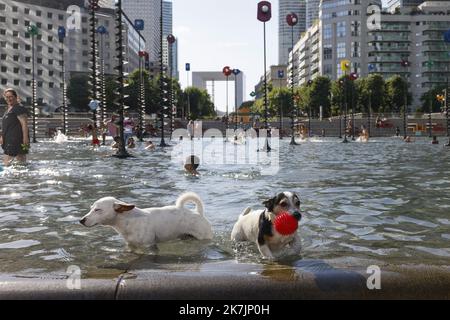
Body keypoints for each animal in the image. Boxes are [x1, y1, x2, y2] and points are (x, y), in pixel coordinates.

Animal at [79, 192, 213, 250]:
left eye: (98, 210)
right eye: (91, 208)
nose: (81, 220)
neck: (128, 221)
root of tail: (198, 212)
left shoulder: (149, 245)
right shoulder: (131, 245)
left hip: (204, 237)